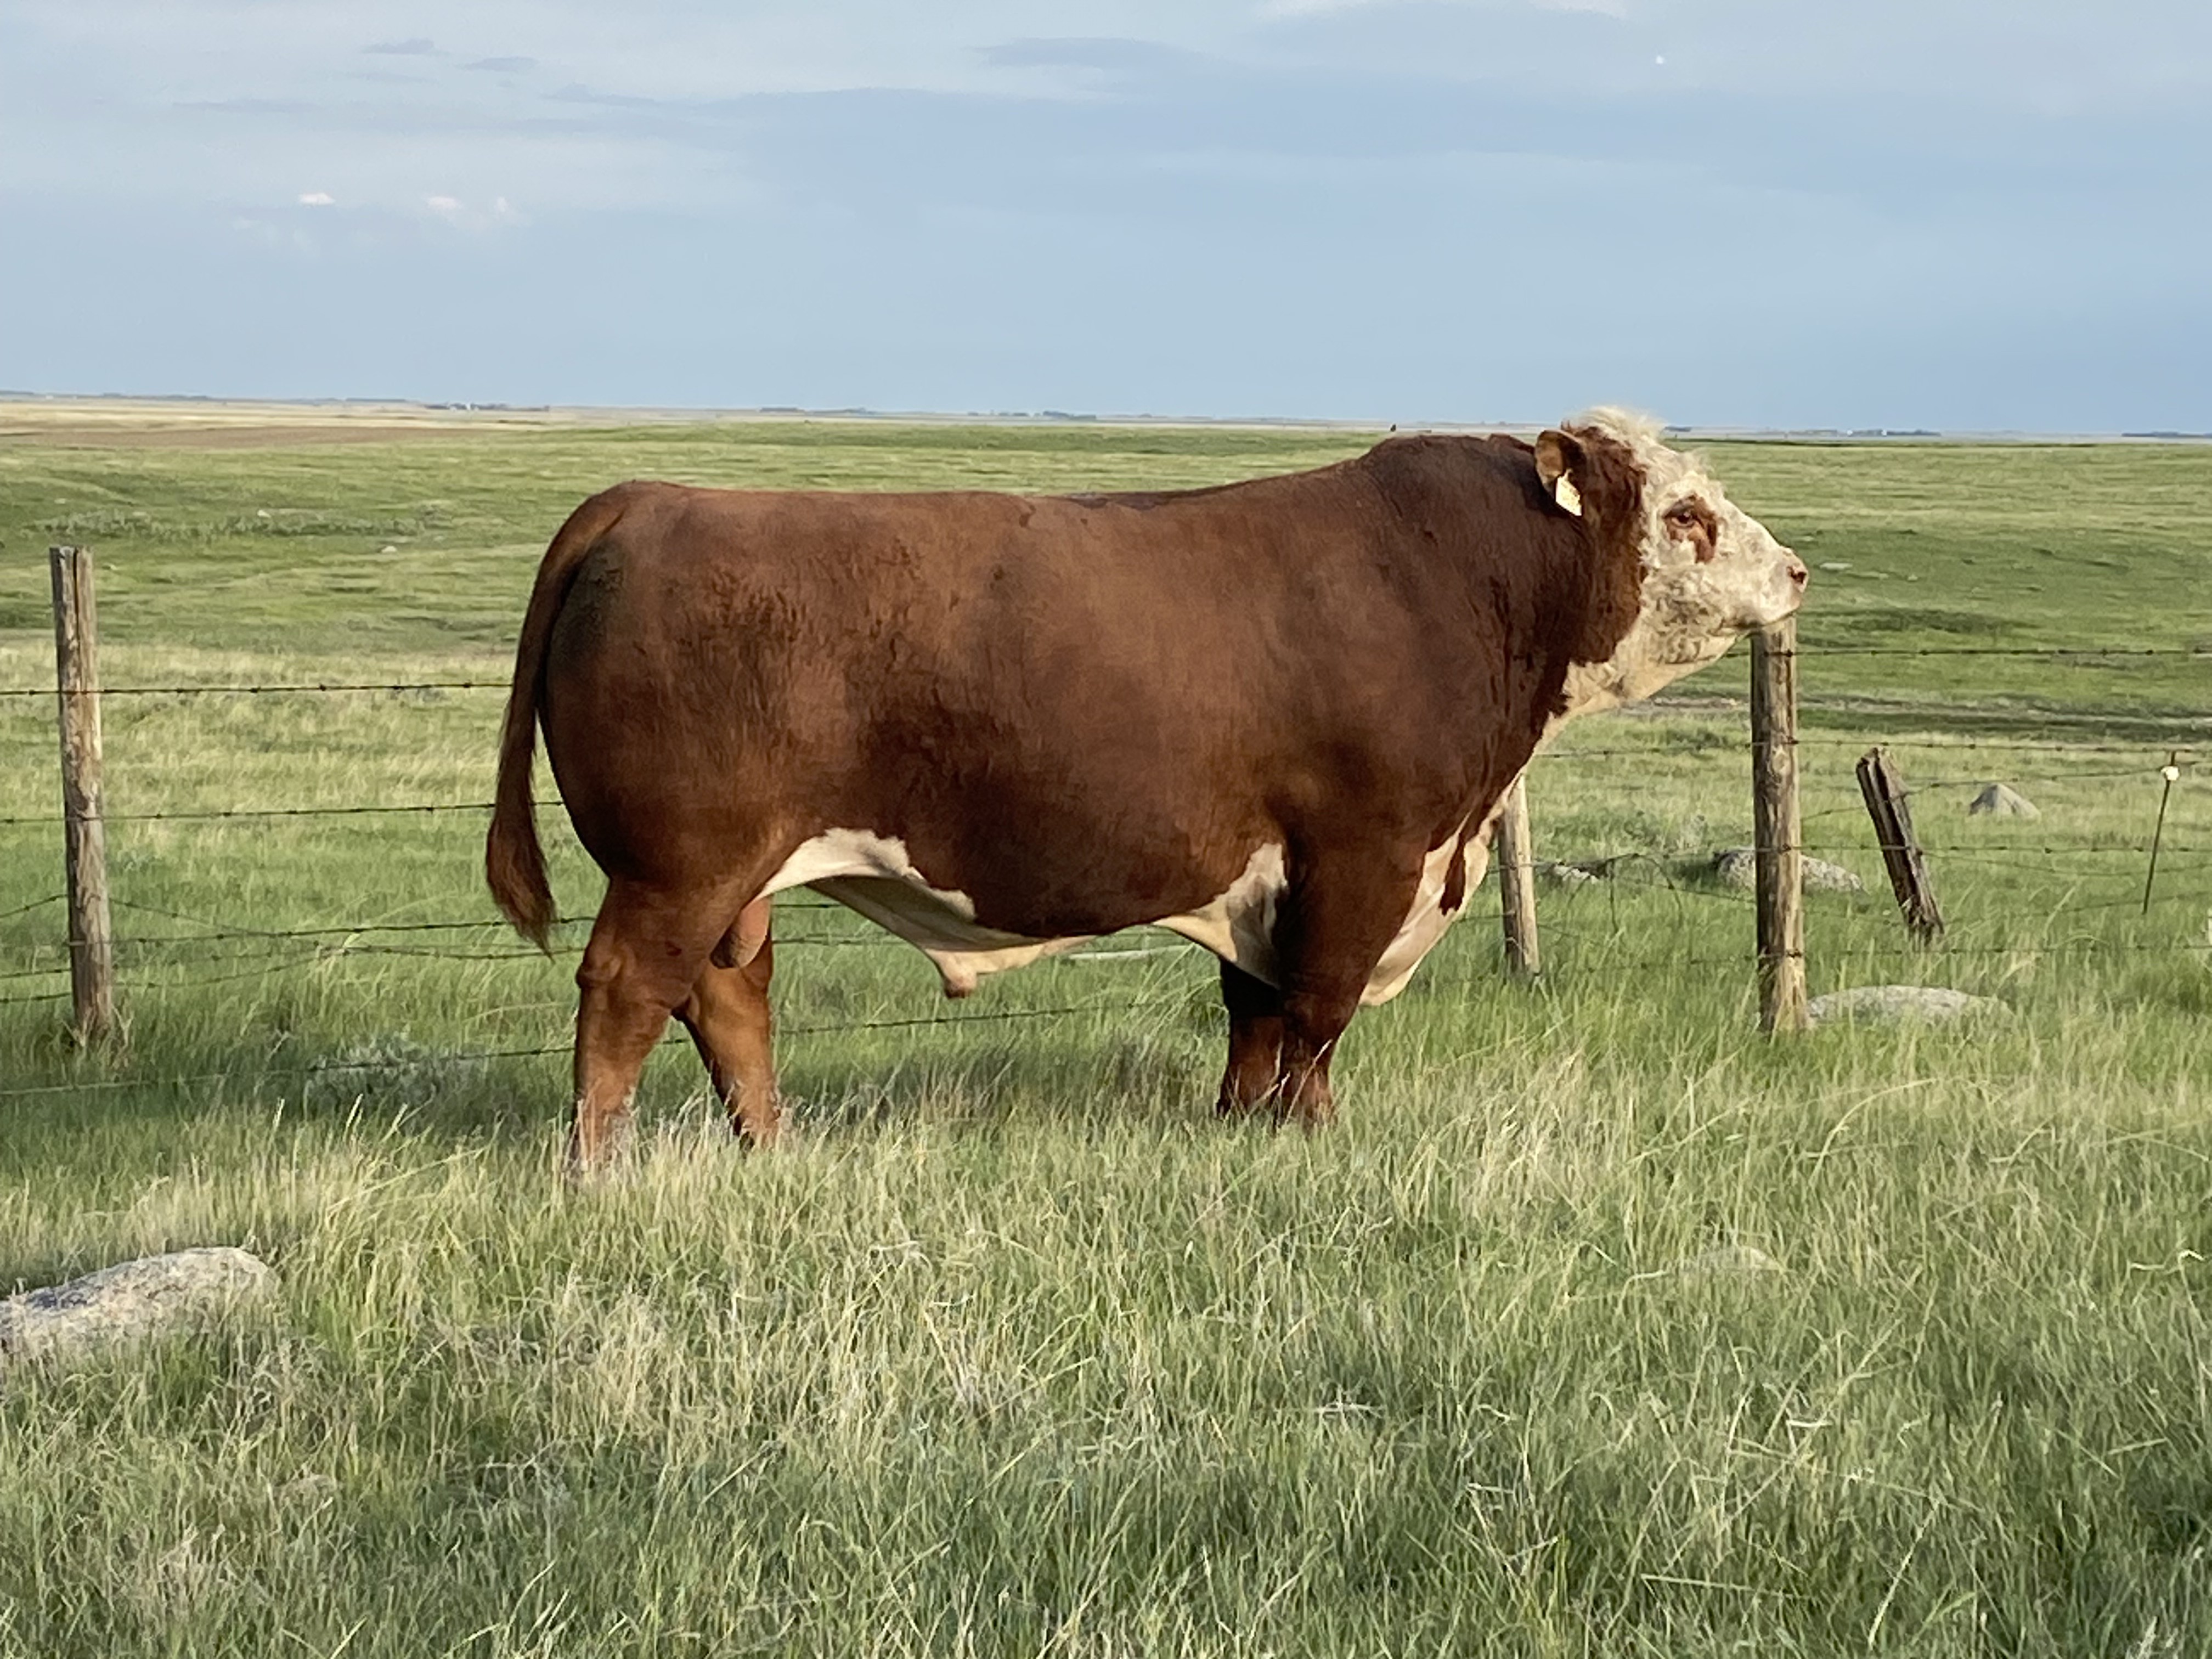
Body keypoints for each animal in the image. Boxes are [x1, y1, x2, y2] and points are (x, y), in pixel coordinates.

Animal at [487, 410, 1806, 1170]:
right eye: (1687, 515)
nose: (1795, 570)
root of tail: (654, 498)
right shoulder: (1367, 850)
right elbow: (1317, 1015)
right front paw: (1309, 1141)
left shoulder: (1268, 873)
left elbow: (1256, 1010)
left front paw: (1237, 1124)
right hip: (682, 862)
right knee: (627, 993)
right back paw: (597, 1171)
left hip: (740, 876)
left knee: (728, 1000)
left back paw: (773, 1149)